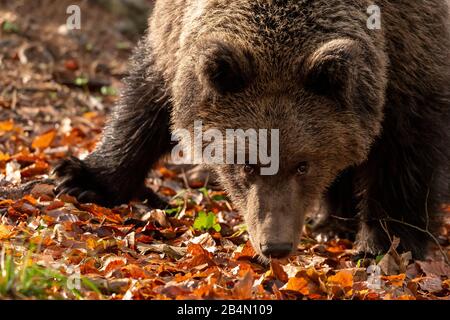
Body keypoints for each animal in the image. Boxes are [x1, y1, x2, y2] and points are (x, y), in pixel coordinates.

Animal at [53, 0, 450, 260]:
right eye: (245, 164)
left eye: (303, 165)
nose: (275, 246)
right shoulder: (176, 44)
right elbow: (146, 104)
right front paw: (82, 177)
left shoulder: (410, 59)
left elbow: (406, 153)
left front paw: (387, 242)